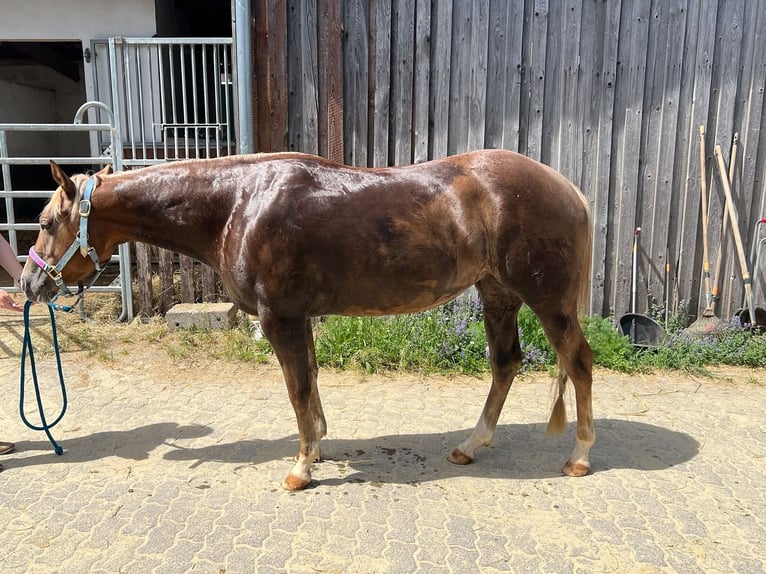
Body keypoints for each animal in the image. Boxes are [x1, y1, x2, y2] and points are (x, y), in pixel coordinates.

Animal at [20, 149, 595, 491]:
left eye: (45, 222)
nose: (28, 284)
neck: (238, 203)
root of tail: (567, 187)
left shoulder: (281, 318)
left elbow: (297, 389)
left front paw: (300, 468)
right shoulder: (300, 318)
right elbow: (312, 383)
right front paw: (317, 446)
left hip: (547, 300)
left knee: (579, 363)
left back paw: (580, 457)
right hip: (497, 293)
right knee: (506, 363)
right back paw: (470, 446)